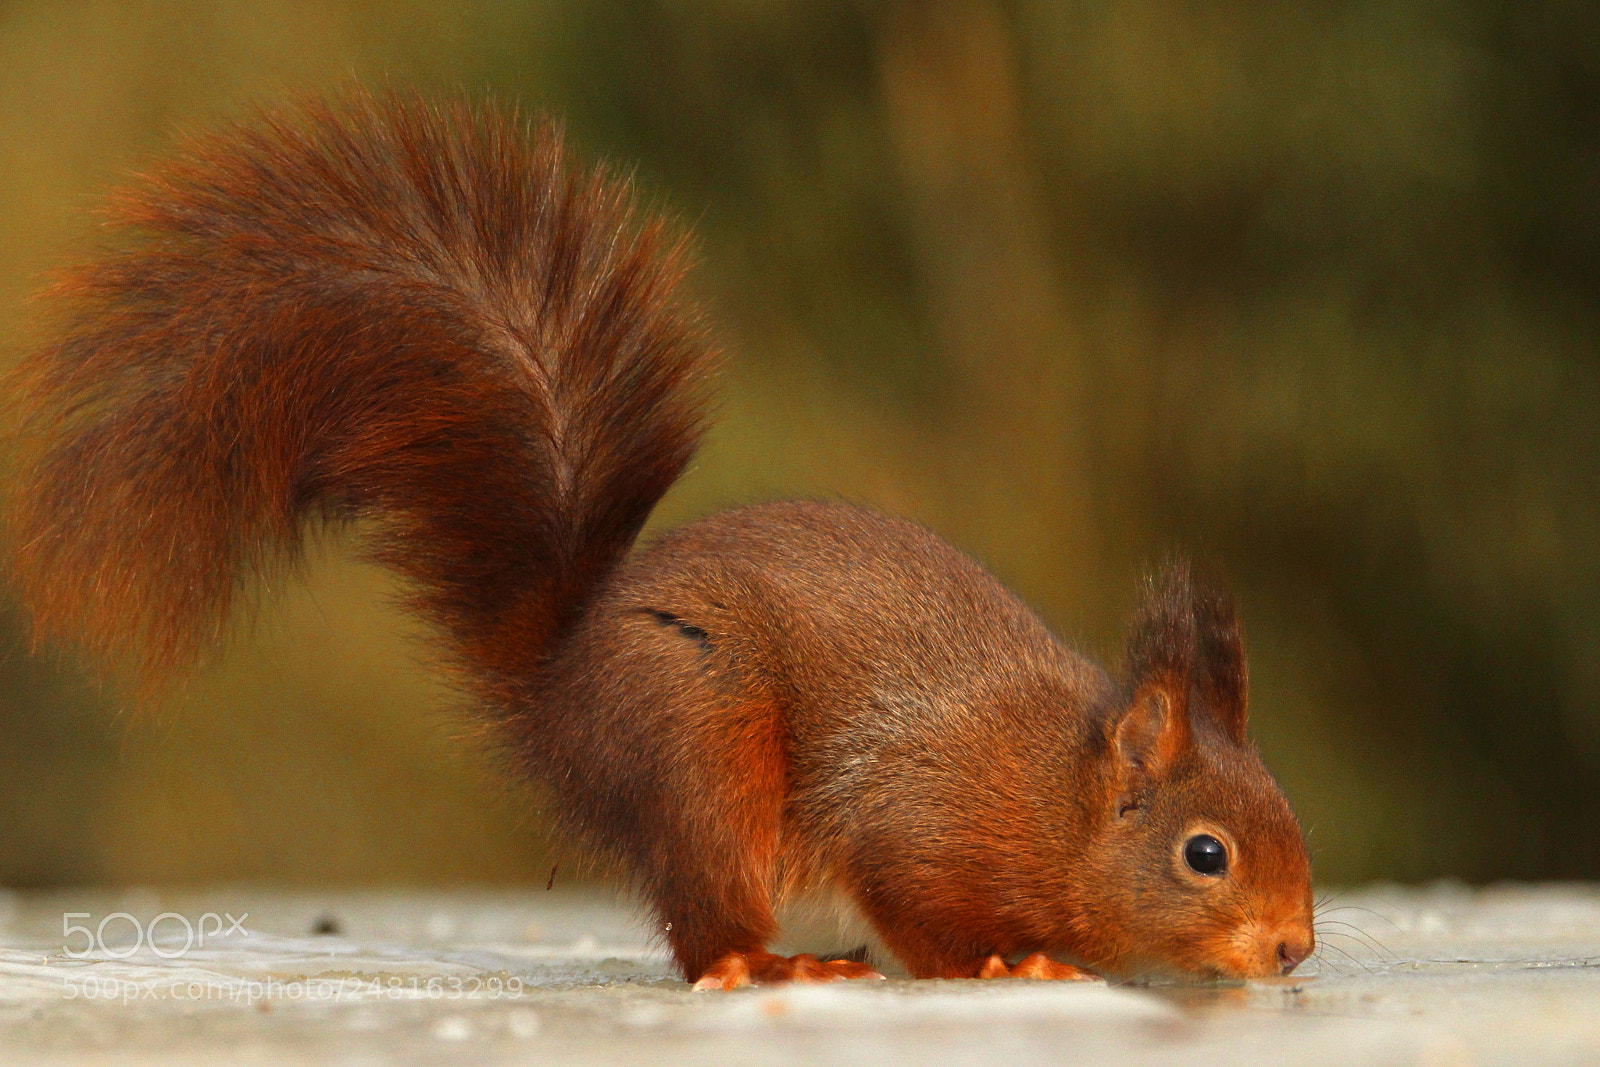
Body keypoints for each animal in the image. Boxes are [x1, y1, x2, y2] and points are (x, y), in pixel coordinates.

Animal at [6, 90, 1313, 989]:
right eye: (1205, 853)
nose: (1295, 947)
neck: (1057, 794)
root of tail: (560, 680)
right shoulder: (919, 818)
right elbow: (924, 908)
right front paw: (1009, 961)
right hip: (700, 741)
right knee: (704, 927)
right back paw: (769, 964)